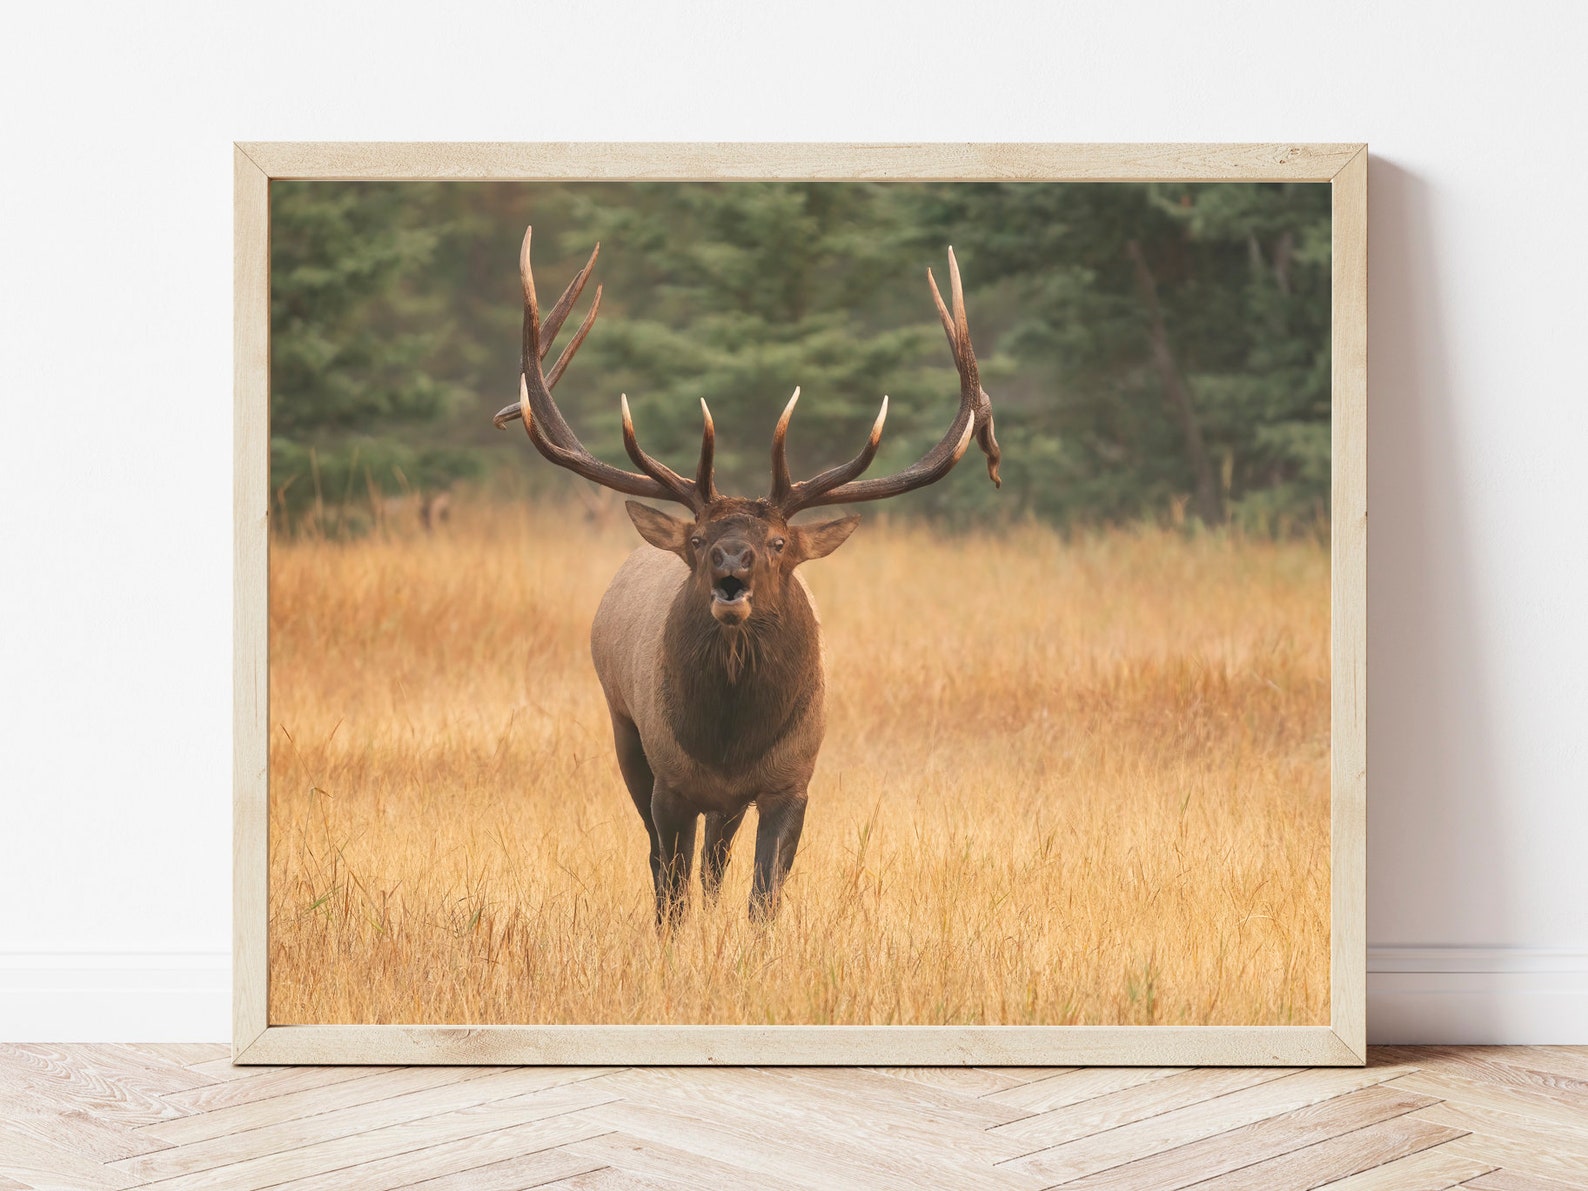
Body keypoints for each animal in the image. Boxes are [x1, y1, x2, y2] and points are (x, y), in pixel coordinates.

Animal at [494, 227, 1001, 924]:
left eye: (779, 542)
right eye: (697, 540)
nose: (731, 563)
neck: (731, 743)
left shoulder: (793, 779)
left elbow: (763, 894)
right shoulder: (671, 779)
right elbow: (669, 889)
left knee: (717, 857)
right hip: (624, 730)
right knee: (666, 857)